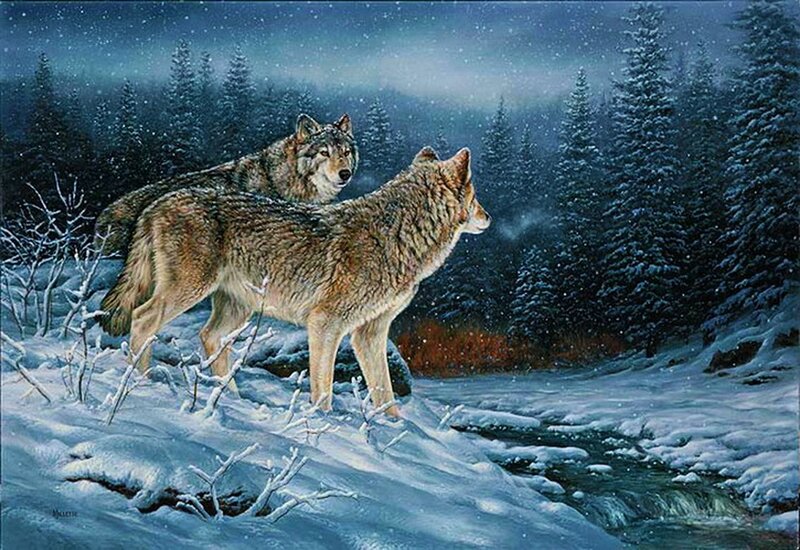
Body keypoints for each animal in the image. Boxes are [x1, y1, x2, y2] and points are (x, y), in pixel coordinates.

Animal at [99, 146, 490, 416]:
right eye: (475, 196)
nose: (488, 217)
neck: (398, 236)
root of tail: (158, 201)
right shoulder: (325, 324)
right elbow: (324, 391)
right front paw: (322, 427)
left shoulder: (369, 334)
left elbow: (386, 395)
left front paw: (394, 434)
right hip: (188, 293)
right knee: (143, 319)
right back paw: (140, 380)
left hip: (237, 309)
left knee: (209, 337)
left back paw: (230, 397)